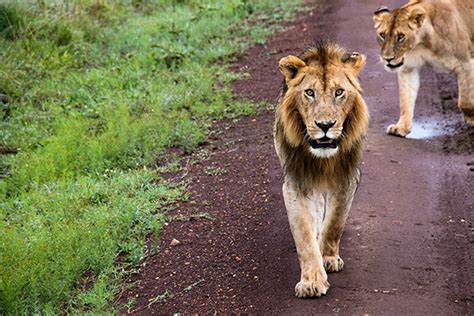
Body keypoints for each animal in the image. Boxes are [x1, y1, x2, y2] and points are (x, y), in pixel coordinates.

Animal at [274, 42, 370, 298]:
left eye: (339, 92)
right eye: (309, 92)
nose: (325, 125)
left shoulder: (348, 177)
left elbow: (336, 221)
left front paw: (328, 258)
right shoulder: (296, 182)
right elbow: (304, 236)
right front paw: (311, 281)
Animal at [374, 0, 474, 136]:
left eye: (401, 36)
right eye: (382, 35)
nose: (387, 59)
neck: (421, 43)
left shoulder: (465, 62)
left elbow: (465, 101)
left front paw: (471, 119)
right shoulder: (407, 69)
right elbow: (405, 100)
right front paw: (401, 128)